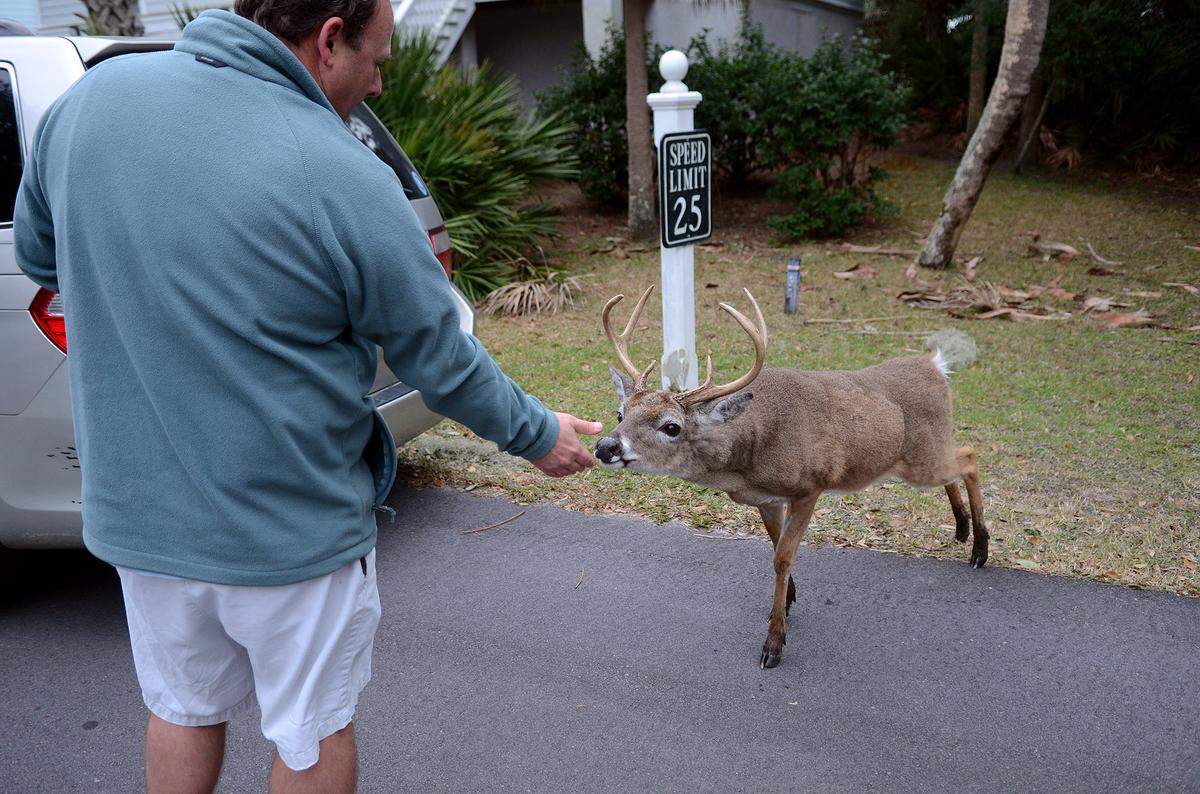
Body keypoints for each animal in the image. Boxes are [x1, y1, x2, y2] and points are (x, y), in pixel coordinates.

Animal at [593, 286, 987, 669]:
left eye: (671, 426)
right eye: (620, 413)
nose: (605, 446)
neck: (748, 459)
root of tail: (936, 365)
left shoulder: (809, 487)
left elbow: (782, 557)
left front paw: (774, 643)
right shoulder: (767, 499)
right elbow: (774, 545)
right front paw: (788, 601)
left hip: (922, 458)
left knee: (969, 456)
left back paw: (980, 549)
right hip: (921, 460)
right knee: (958, 461)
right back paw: (961, 529)